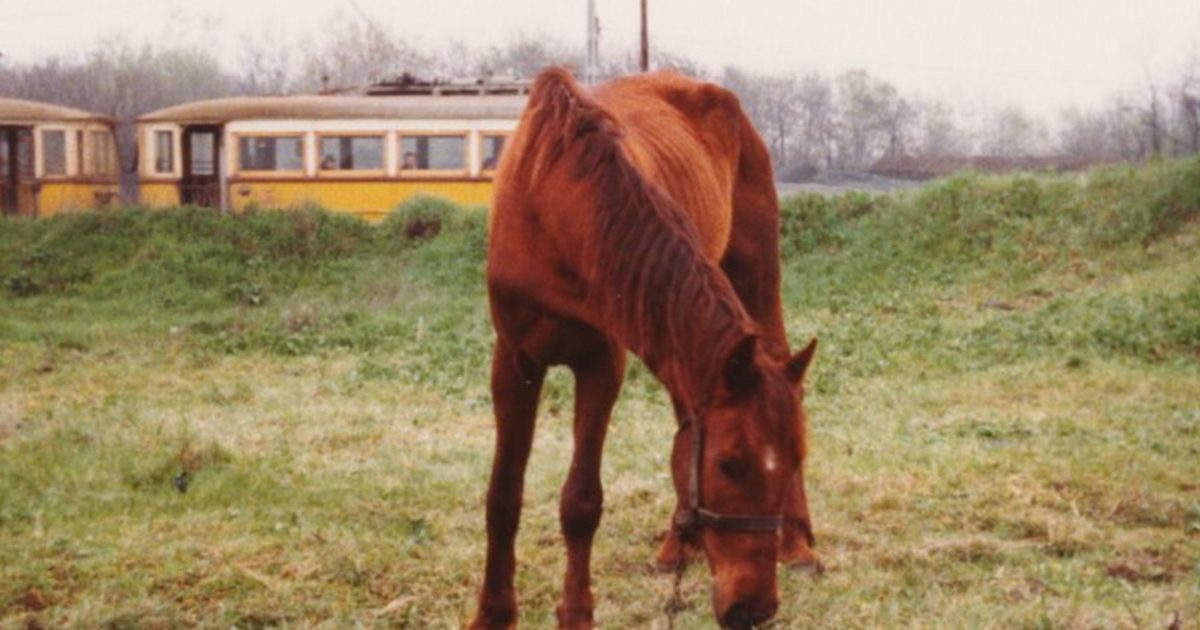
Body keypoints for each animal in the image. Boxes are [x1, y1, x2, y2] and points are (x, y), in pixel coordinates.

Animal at [468, 67, 816, 628]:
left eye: (792, 457)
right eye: (728, 464)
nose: (754, 609)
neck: (553, 206)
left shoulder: (600, 363)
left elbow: (581, 502)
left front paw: (577, 614)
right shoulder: (515, 362)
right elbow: (503, 496)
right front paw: (493, 615)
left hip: (756, 272)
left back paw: (799, 547)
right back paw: (677, 547)